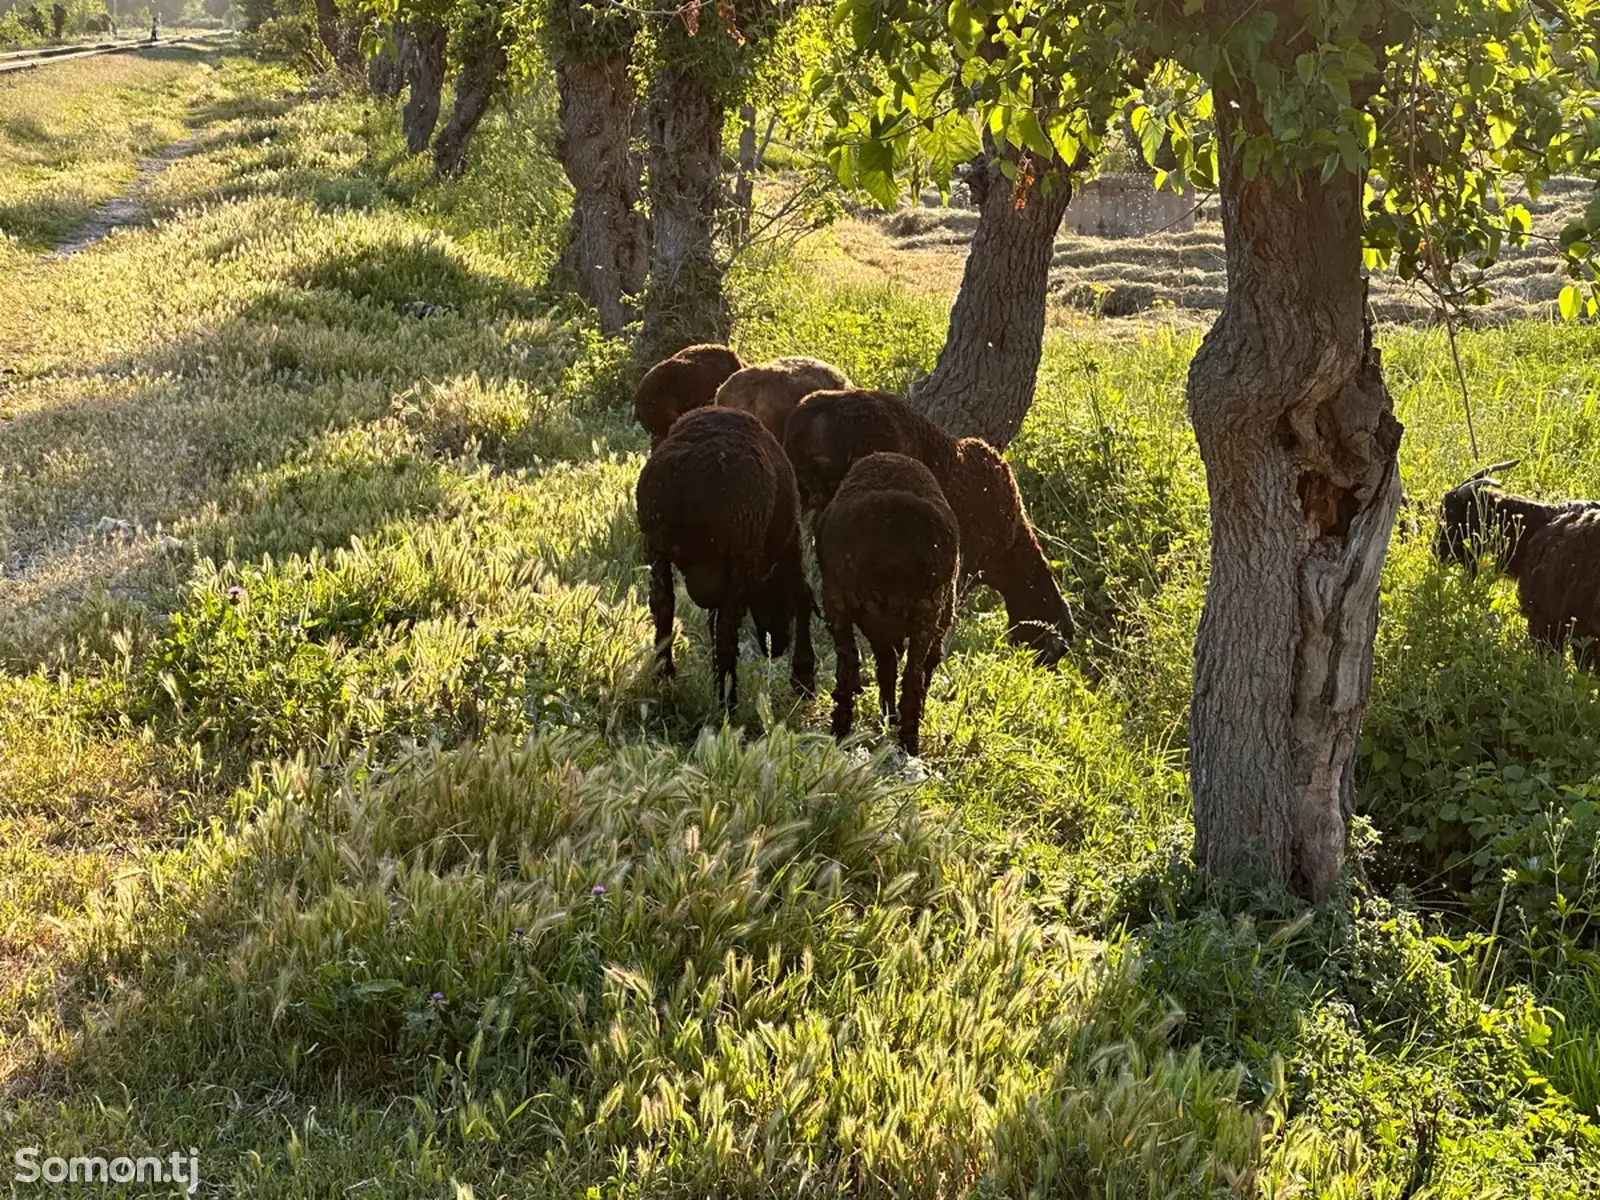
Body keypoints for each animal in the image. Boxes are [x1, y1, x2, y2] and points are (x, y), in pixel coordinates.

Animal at [633, 409, 812, 710]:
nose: (777, 648)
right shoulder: (791, 545)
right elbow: (803, 596)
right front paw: (804, 678)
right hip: (741, 557)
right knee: (727, 630)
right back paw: (729, 701)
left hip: (655, 547)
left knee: (663, 605)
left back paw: (664, 674)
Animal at [819, 454, 953, 755]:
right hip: (927, 608)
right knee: (910, 674)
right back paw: (907, 739)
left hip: (839, 601)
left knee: (853, 664)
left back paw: (844, 731)